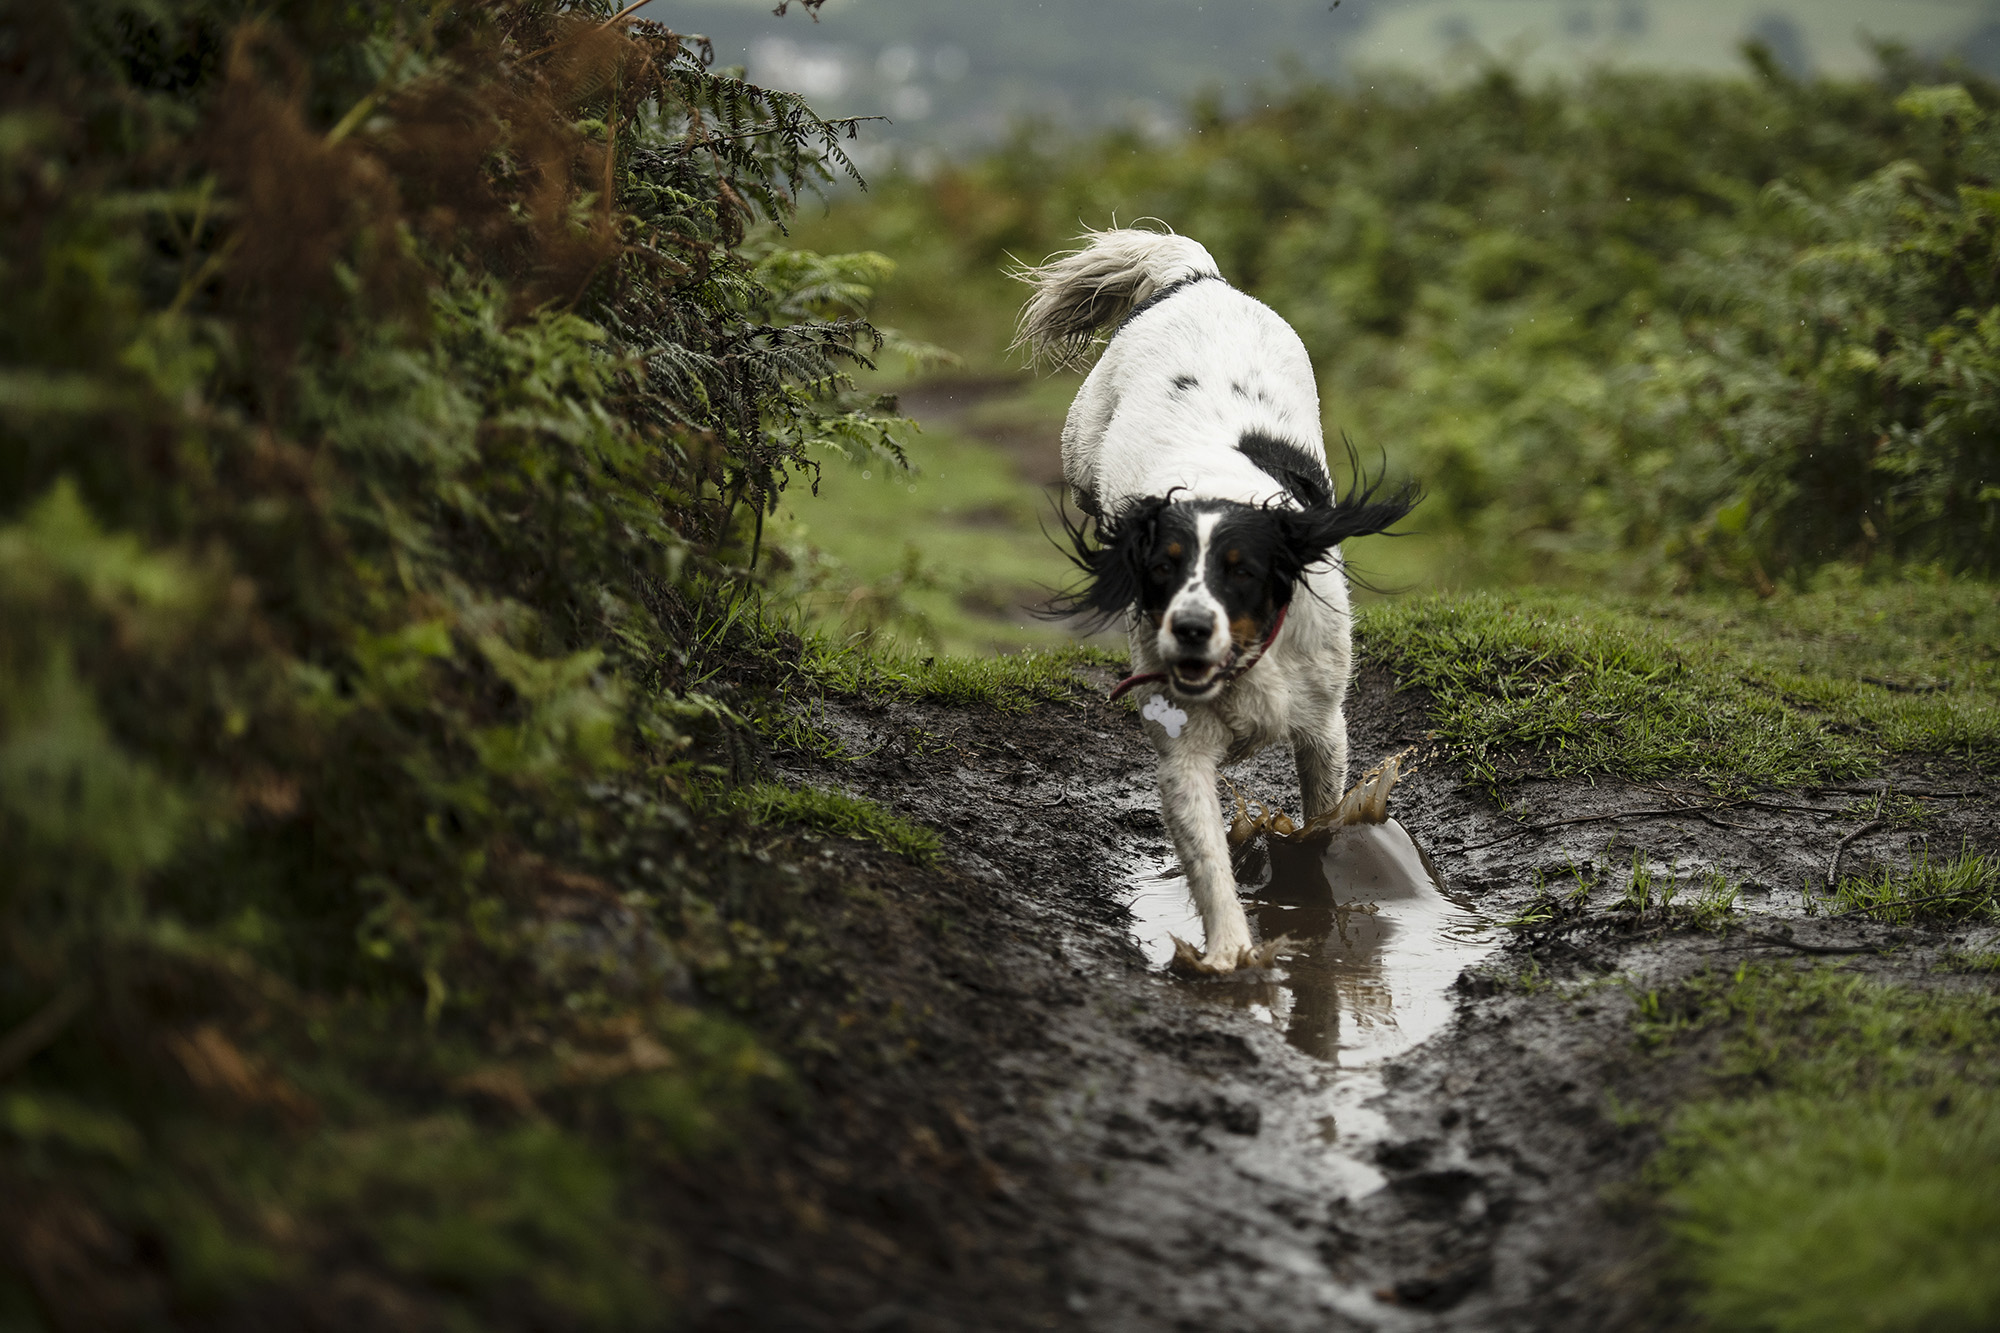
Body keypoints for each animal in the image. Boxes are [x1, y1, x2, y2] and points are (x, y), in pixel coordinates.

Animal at [1016, 228, 1424, 972]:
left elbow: (1322, 817)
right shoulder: (1185, 752)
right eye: (1162, 569)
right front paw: (1231, 952)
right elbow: (1207, 858)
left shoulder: (1323, 726)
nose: (1190, 628)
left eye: (1242, 571)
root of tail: (1199, 278)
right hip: (1081, 445)